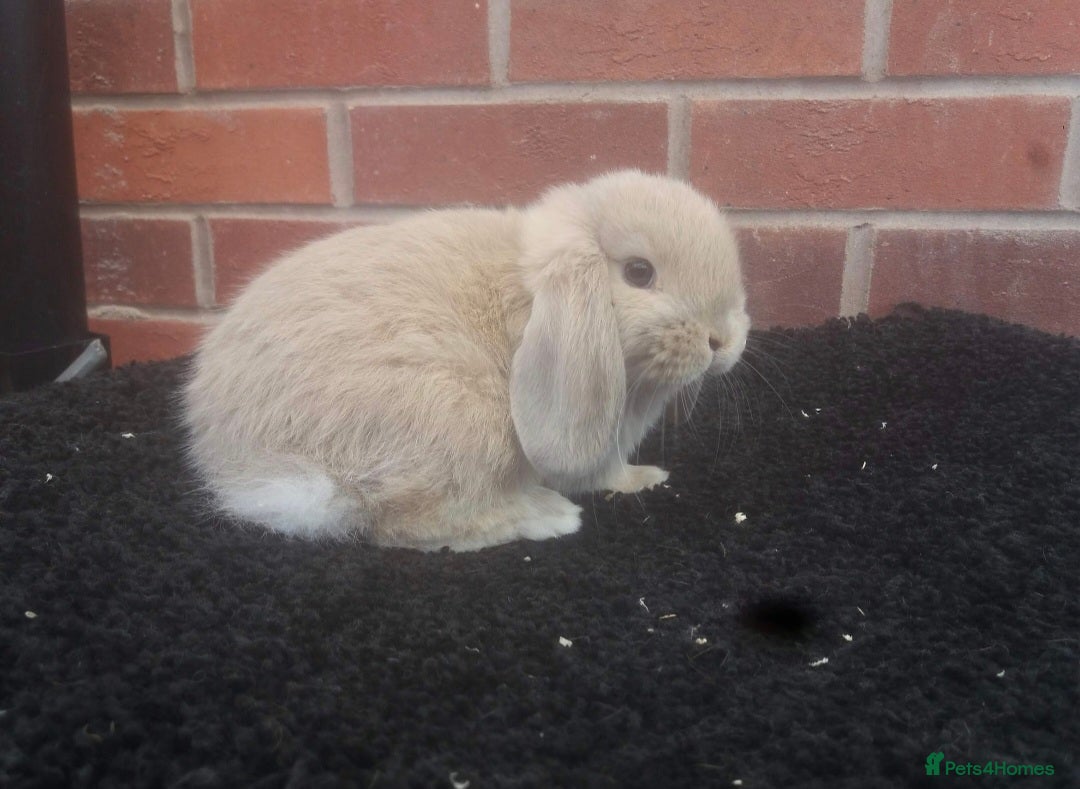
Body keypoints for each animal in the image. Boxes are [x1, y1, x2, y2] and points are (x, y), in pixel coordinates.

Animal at [182, 170, 749, 551]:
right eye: (638, 272)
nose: (724, 340)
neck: (531, 295)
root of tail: (246, 464)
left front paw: (646, 477)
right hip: (465, 421)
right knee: (412, 522)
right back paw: (546, 517)